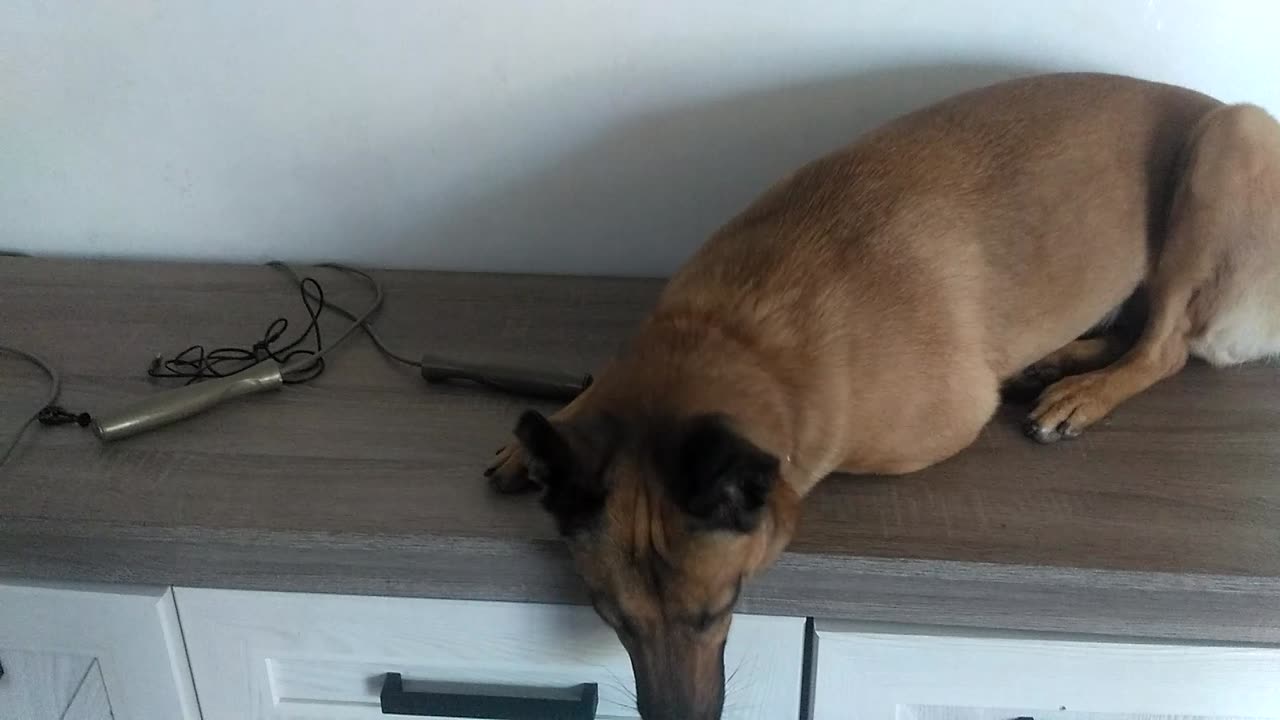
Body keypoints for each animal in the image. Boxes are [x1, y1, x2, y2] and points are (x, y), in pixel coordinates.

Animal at [481, 73, 1280, 717]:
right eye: (612, 620)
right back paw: (1060, 360)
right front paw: (549, 428)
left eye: (721, 610)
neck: (744, 336)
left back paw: (1084, 391)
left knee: (1166, 345)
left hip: (1229, 141)